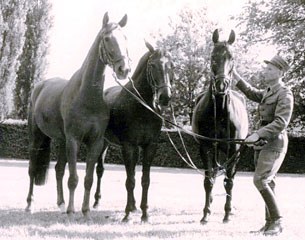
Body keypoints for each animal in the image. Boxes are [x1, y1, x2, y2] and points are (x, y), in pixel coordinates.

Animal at [25, 12, 130, 218]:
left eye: (125, 38)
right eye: (107, 38)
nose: (124, 69)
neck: (87, 96)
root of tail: (39, 87)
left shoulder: (95, 143)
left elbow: (88, 178)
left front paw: (86, 210)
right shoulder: (74, 140)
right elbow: (73, 178)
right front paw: (72, 211)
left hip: (61, 140)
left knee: (58, 169)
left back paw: (60, 203)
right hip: (37, 137)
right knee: (32, 169)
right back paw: (30, 205)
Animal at [92, 40, 172, 221]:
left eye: (171, 65)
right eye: (153, 65)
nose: (165, 97)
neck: (143, 106)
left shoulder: (150, 146)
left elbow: (144, 180)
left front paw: (144, 213)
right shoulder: (129, 146)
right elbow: (130, 180)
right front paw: (127, 214)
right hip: (102, 143)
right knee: (99, 170)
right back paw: (96, 201)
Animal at [191, 29, 248, 224]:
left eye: (232, 57)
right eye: (212, 56)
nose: (221, 86)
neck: (220, 113)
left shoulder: (233, 149)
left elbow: (229, 182)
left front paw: (227, 213)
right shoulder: (206, 147)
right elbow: (208, 180)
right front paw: (206, 213)